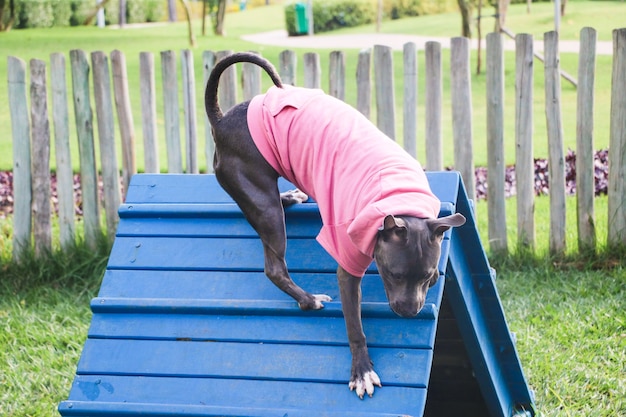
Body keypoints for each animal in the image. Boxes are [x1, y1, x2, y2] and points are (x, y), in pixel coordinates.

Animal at [205, 52, 464, 400]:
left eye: (427, 276)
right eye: (393, 275)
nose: (409, 312)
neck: (399, 198)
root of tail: (221, 121)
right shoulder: (348, 266)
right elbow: (355, 325)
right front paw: (362, 370)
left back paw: (289, 196)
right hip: (264, 206)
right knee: (274, 266)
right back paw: (307, 299)